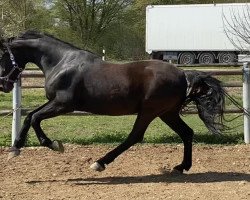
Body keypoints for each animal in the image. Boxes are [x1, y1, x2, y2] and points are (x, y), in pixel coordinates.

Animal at [0, 30, 226, 173]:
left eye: (1, 56)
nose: (4, 85)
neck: (61, 63)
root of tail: (183, 74)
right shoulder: (56, 103)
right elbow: (30, 116)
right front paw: (15, 149)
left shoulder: (64, 104)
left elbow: (34, 117)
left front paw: (52, 145)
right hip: (167, 113)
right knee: (187, 133)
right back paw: (181, 167)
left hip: (150, 111)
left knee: (134, 136)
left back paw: (99, 163)